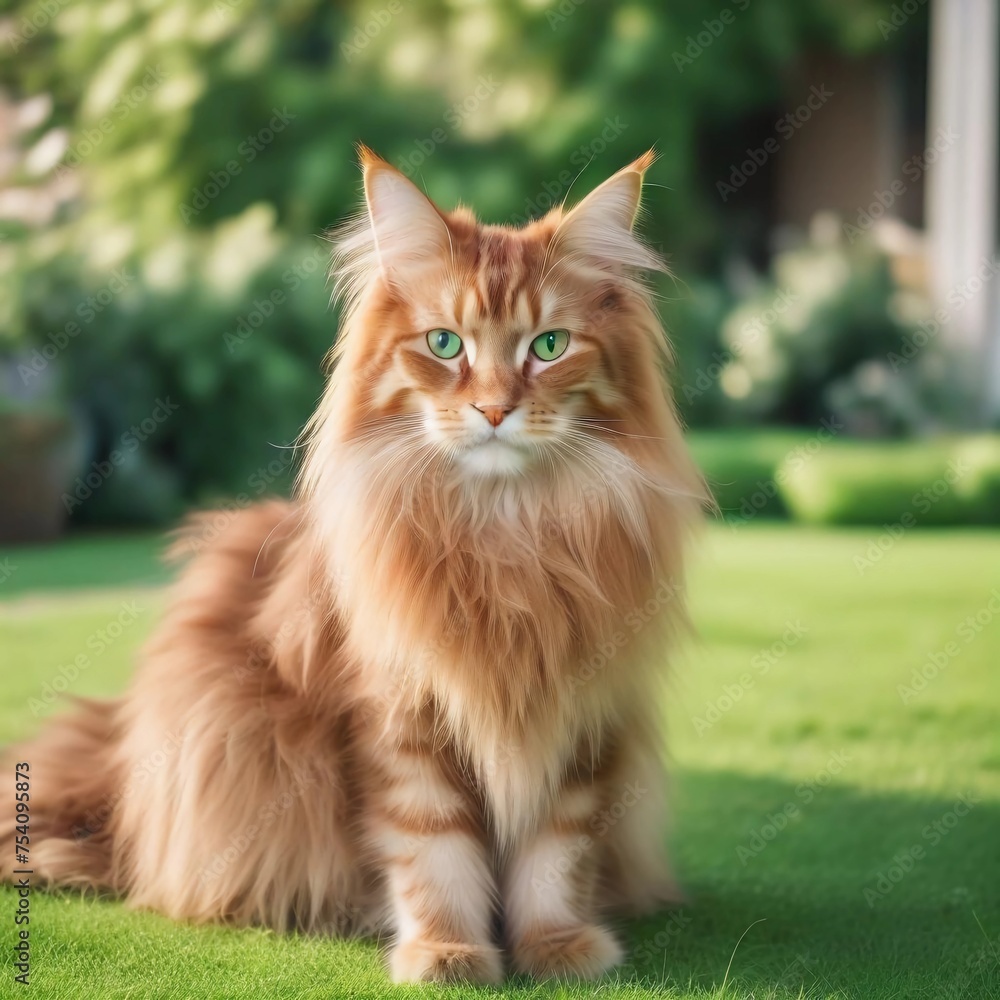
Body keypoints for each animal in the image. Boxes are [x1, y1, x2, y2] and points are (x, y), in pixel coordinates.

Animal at [1, 146, 704, 984]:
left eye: (549, 346)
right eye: (445, 345)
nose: (495, 410)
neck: (506, 533)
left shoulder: (585, 720)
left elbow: (556, 854)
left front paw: (558, 947)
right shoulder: (398, 720)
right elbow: (432, 849)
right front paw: (446, 951)